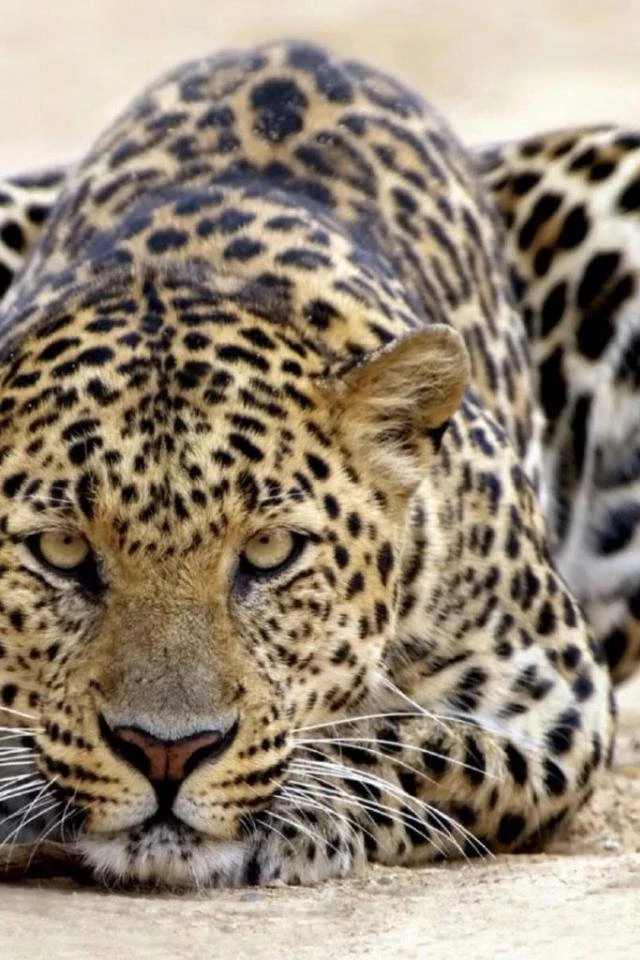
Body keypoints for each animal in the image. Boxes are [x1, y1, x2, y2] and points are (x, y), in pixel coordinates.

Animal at [0, 39, 634, 890]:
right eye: (61, 551)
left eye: (271, 553)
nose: (167, 752)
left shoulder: (552, 694)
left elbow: (414, 742)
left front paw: (310, 808)